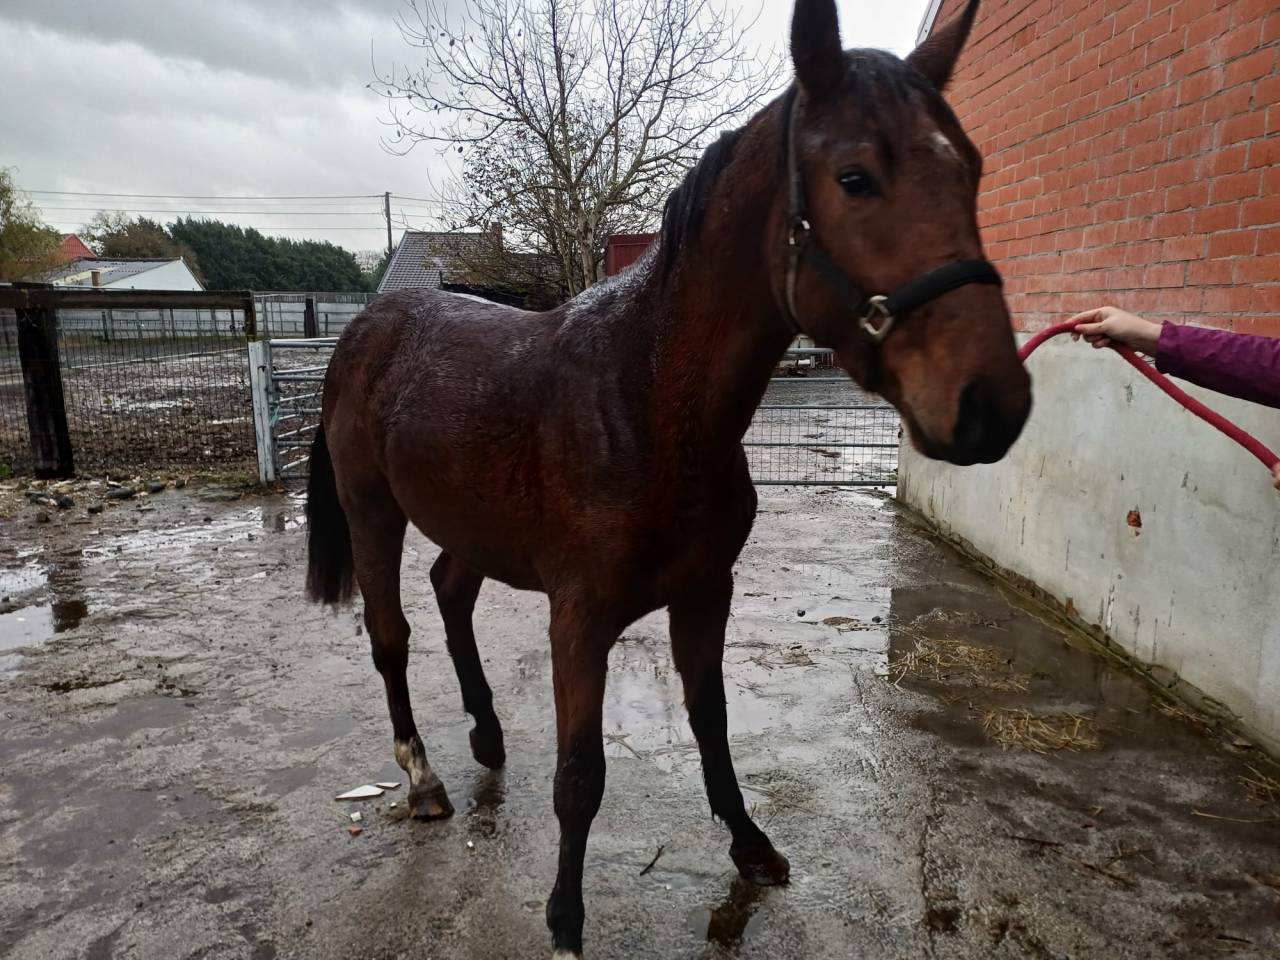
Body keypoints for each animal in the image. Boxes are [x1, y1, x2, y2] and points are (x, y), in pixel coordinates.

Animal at [304, 1, 1030, 955]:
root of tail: (365, 328)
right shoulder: (579, 619)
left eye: (971, 169)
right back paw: (424, 779)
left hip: (471, 524)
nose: (993, 405)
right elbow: (581, 776)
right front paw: (566, 922)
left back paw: (489, 734)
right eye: (854, 177)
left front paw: (751, 844)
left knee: (451, 591)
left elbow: (711, 722)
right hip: (372, 510)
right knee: (391, 636)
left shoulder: (705, 590)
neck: (647, 399)